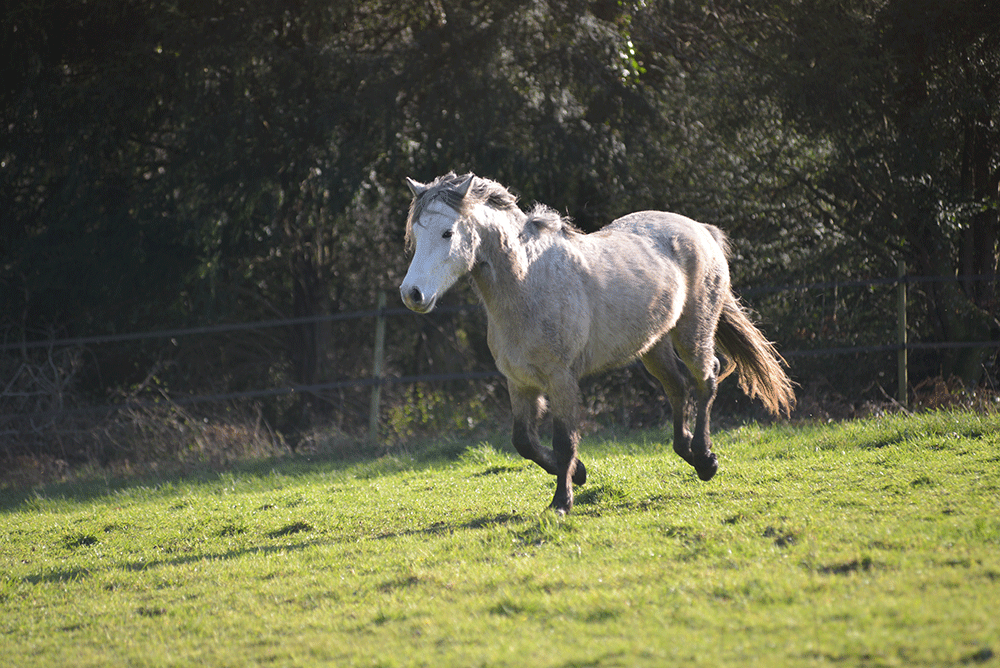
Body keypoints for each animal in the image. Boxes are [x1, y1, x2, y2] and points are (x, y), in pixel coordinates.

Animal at [398, 174, 796, 516]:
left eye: (448, 232)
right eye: (416, 234)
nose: (412, 295)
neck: (528, 283)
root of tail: (701, 230)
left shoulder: (561, 380)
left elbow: (564, 441)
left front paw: (562, 502)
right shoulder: (520, 382)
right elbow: (523, 441)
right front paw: (580, 474)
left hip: (692, 331)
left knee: (705, 379)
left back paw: (705, 459)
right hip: (653, 346)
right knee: (678, 387)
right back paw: (688, 452)